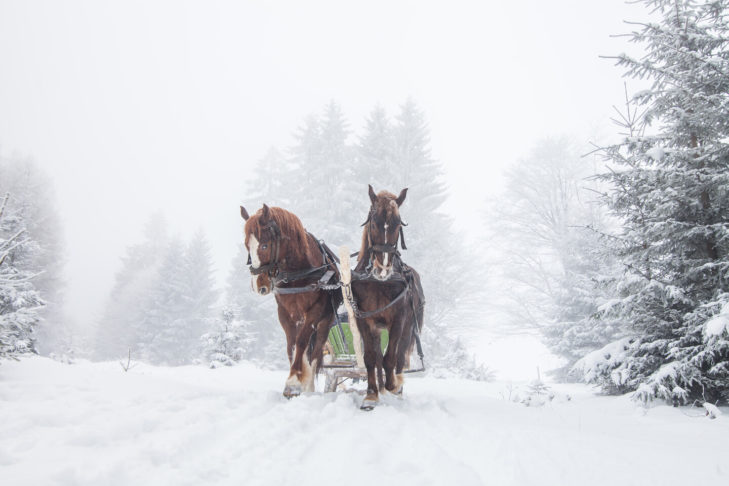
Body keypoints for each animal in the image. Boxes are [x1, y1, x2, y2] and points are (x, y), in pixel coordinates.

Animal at [239, 204, 342, 398]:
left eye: (265, 245)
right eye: (247, 245)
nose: (258, 285)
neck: (299, 273)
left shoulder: (315, 311)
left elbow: (301, 342)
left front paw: (293, 382)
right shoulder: (285, 313)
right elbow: (292, 346)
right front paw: (295, 378)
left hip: (325, 322)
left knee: (316, 351)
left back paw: (308, 386)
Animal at [351, 185, 425, 410]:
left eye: (397, 224)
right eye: (374, 222)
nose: (382, 269)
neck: (378, 282)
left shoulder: (399, 319)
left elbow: (390, 358)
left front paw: (393, 384)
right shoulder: (365, 321)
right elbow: (370, 358)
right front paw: (371, 395)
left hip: (409, 326)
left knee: (399, 356)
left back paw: (396, 387)